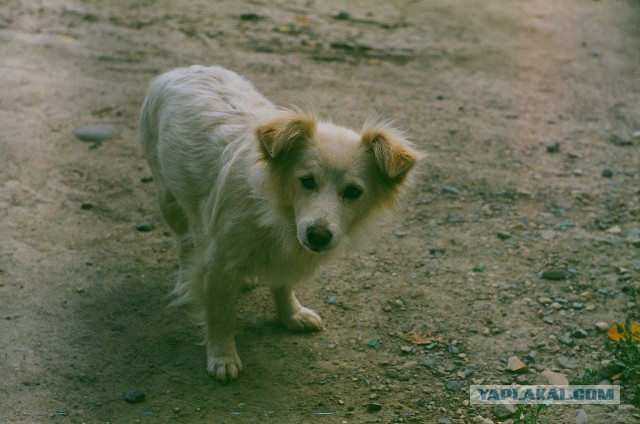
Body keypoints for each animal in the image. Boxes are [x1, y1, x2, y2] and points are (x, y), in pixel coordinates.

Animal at [138, 64, 422, 382]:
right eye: (306, 181)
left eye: (353, 192)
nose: (318, 235)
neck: (277, 213)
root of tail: (185, 69)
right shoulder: (219, 264)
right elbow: (220, 314)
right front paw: (222, 356)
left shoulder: (287, 256)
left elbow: (283, 285)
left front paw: (291, 315)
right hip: (170, 200)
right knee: (184, 242)